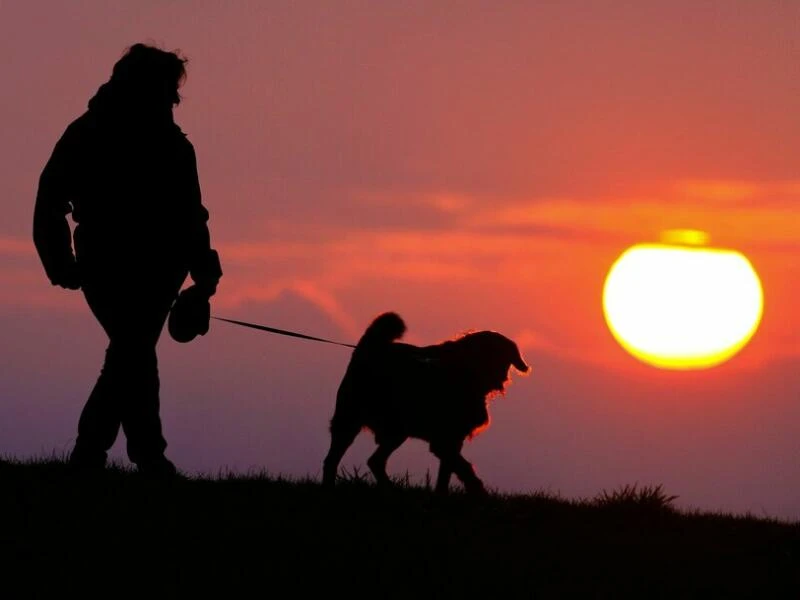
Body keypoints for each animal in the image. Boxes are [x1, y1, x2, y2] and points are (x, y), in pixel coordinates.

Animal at [322, 312, 528, 494]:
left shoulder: (453, 439)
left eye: (505, 357)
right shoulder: (443, 441)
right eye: (492, 354)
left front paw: (442, 495)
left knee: (373, 461)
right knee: (333, 460)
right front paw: (478, 491)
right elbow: (465, 469)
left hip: (395, 431)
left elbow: (446, 474)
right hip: (351, 421)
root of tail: (369, 349)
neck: (463, 369)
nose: (502, 378)